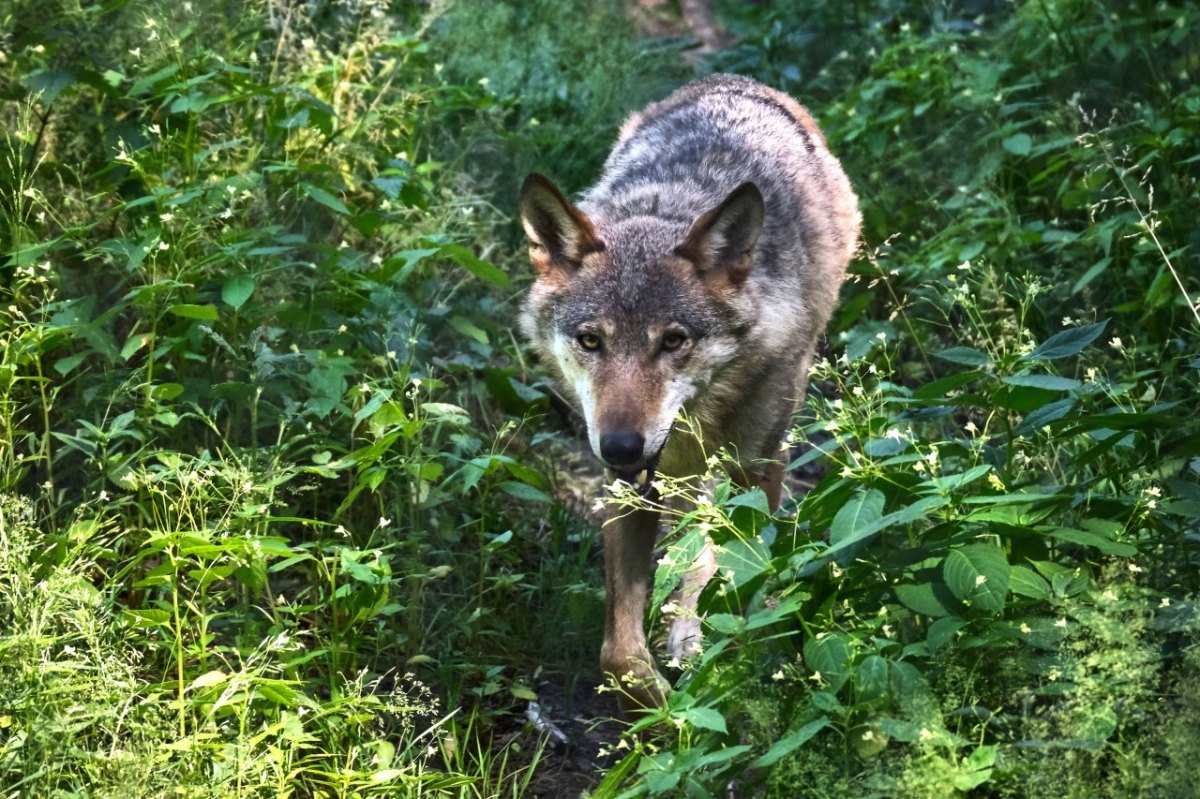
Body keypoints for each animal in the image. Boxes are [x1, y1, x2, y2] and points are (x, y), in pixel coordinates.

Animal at [513, 74, 854, 710]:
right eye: (591, 340)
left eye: (673, 340)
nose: (622, 446)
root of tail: (737, 82)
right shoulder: (628, 486)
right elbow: (619, 654)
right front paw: (663, 706)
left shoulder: (752, 467)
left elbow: (730, 566)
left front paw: (708, 647)